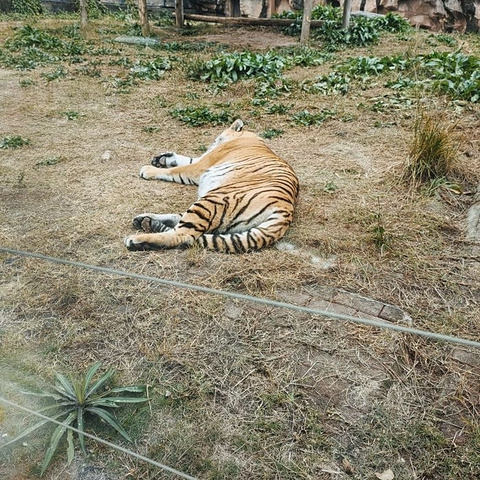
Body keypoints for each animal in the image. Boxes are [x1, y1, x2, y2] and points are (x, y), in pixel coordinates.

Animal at [124, 119, 298, 255]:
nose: (211, 144)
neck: (251, 138)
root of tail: (286, 211)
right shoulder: (202, 160)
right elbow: (188, 159)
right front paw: (164, 157)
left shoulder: (201, 165)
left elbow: (178, 169)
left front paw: (149, 169)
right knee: (181, 222)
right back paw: (145, 220)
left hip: (213, 199)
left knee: (184, 235)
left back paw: (136, 239)